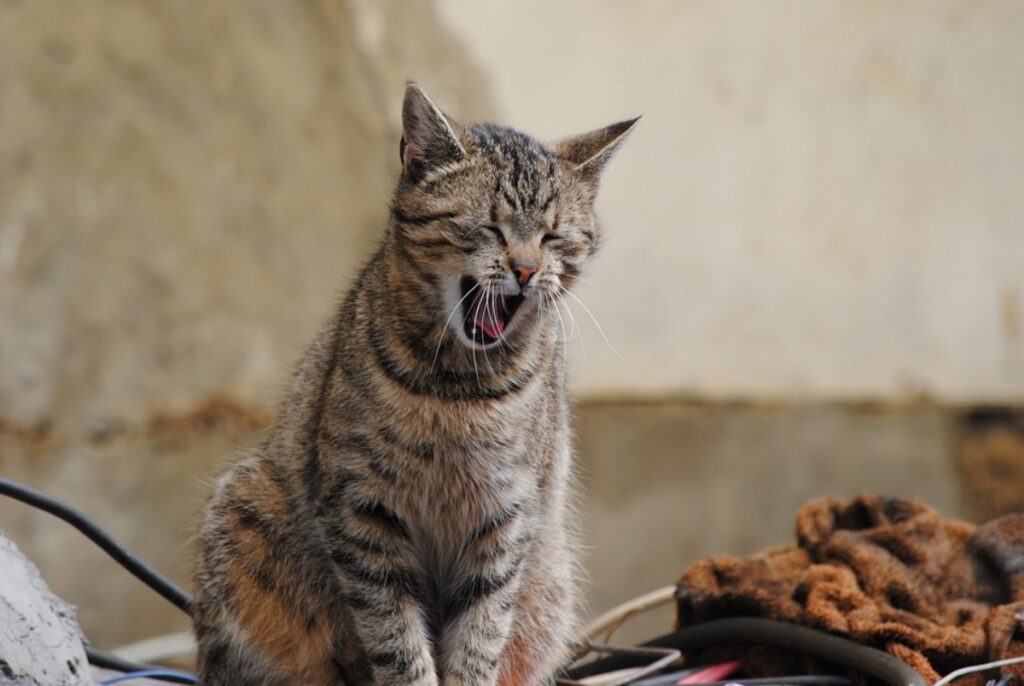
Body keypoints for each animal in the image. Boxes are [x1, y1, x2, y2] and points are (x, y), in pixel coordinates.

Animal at [192, 83, 634, 683]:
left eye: (553, 237)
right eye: (490, 226)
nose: (524, 269)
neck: (458, 389)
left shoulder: (505, 519)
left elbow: (481, 632)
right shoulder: (362, 510)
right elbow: (395, 637)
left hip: (552, 575)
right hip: (246, 507)